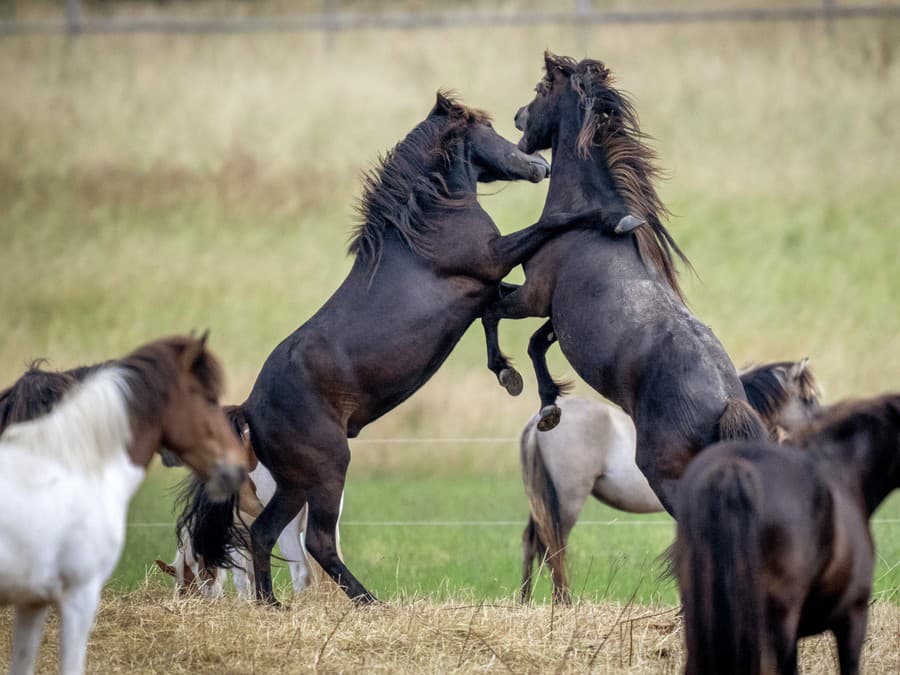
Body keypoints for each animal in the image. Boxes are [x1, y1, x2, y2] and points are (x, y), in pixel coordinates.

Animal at [183, 91, 628, 608]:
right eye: (488, 127)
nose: (539, 165)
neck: (429, 222)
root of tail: (249, 408)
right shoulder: (492, 259)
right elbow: (550, 224)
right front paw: (614, 216)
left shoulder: (485, 289)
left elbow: (498, 314)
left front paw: (508, 372)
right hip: (327, 467)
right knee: (317, 540)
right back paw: (369, 602)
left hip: (295, 480)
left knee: (263, 533)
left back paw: (274, 605)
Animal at [486, 52, 768, 516]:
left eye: (541, 90)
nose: (518, 116)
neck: (586, 220)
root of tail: (726, 404)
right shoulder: (555, 316)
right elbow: (535, 342)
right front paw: (549, 407)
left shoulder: (534, 296)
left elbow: (491, 311)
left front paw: (507, 375)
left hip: (666, 479)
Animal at [520, 360, 824, 604]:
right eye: (808, 399)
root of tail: (538, 423)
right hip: (568, 499)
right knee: (555, 545)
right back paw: (563, 602)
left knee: (533, 541)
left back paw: (527, 600)